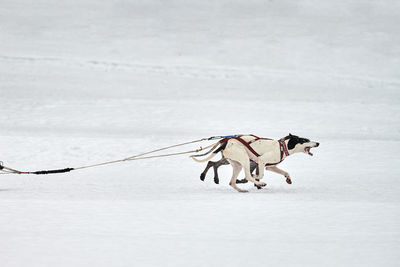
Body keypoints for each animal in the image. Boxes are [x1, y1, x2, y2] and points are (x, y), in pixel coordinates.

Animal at [192, 134, 320, 193]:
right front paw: (257, 178)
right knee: (247, 176)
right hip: (244, 159)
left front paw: (288, 178)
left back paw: (241, 190)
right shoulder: (261, 161)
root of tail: (226, 142)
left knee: (232, 182)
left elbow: (286, 172)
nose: (318, 143)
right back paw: (259, 182)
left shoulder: (271, 166)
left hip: (237, 165)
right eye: (305, 140)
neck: (282, 148)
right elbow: (260, 175)